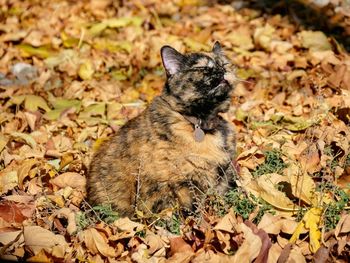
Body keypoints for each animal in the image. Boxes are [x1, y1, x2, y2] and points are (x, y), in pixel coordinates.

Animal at [86, 41, 237, 219]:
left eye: (225, 64)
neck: (202, 123)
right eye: (203, 68)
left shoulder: (223, 176)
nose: (222, 70)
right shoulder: (172, 187)